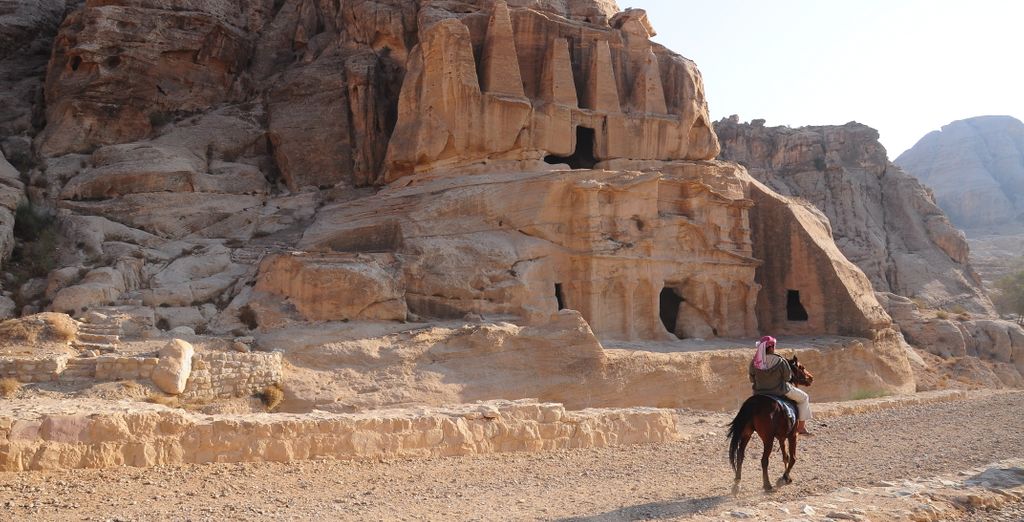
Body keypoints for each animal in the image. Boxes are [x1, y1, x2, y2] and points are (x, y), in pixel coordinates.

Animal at [729, 354, 815, 493]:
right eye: (801, 367)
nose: (811, 377)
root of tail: (754, 403)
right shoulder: (792, 435)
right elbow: (793, 457)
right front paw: (784, 477)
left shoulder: (781, 437)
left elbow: (785, 456)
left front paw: (787, 477)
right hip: (768, 439)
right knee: (764, 460)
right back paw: (767, 485)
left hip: (746, 434)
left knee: (740, 455)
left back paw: (737, 484)